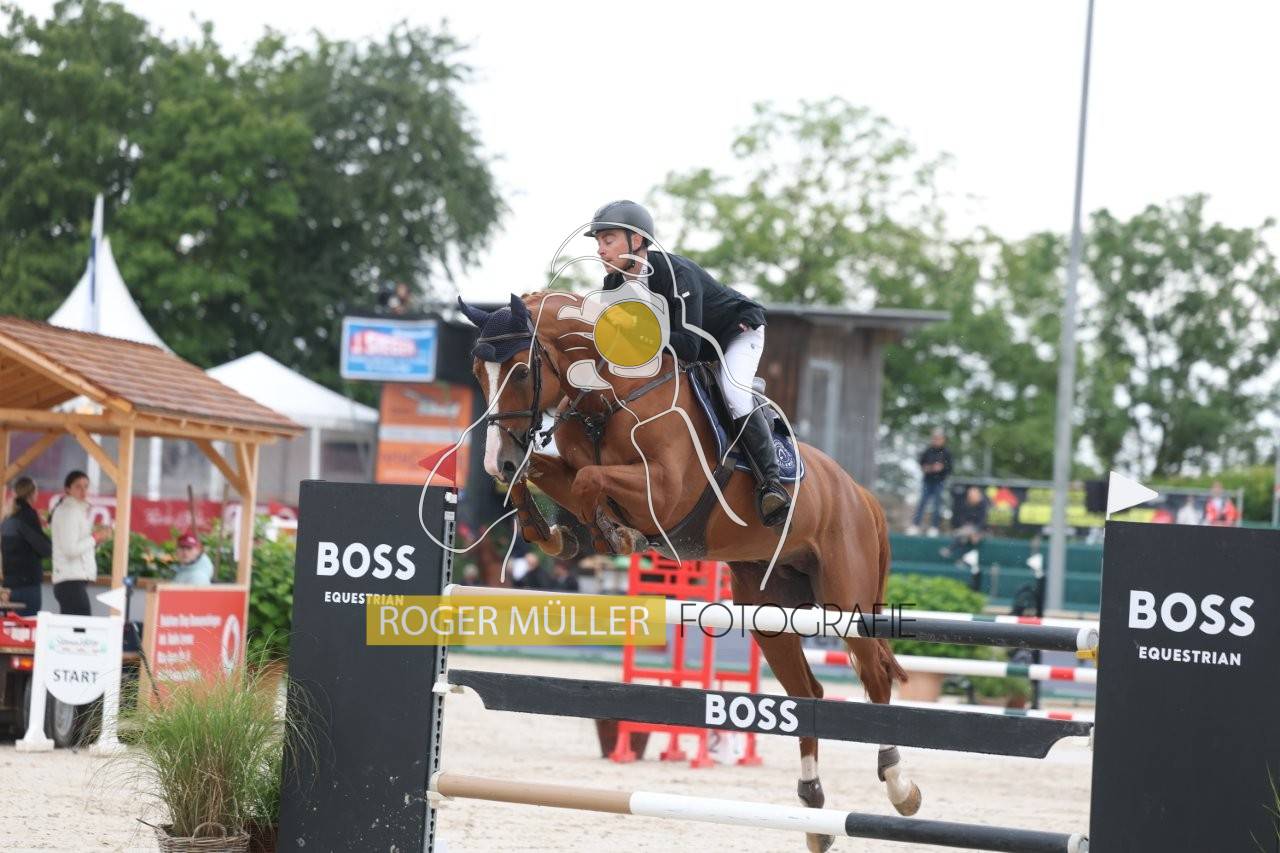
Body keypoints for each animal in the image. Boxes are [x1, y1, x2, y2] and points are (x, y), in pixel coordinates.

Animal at [459, 291, 917, 853]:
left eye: (522, 371)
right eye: (477, 372)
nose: (495, 460)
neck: (608, 399)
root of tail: (861, 495)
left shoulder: (665, 491)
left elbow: (590, 480)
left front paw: (611, 532)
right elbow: (551, 472)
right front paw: (555, 531)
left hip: (845, 602)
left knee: (874, 675)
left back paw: (899, 786)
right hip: (768, 609)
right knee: (806, 693)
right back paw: (812, 810)